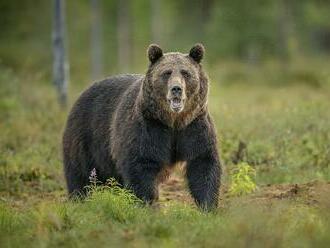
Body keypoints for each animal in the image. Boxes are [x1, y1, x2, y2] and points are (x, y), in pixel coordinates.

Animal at [62, 43, 222, 210]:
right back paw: (79, 199)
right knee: (80, 173)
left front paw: (207, 205)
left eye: (185, 73)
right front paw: (147, 203)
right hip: (86, 135)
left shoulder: (193, 126)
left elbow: (202, 162)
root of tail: (83, 93)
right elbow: (141, 165)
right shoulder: (149, 126)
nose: (176, 89)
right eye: (167, 73)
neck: (173, 121)